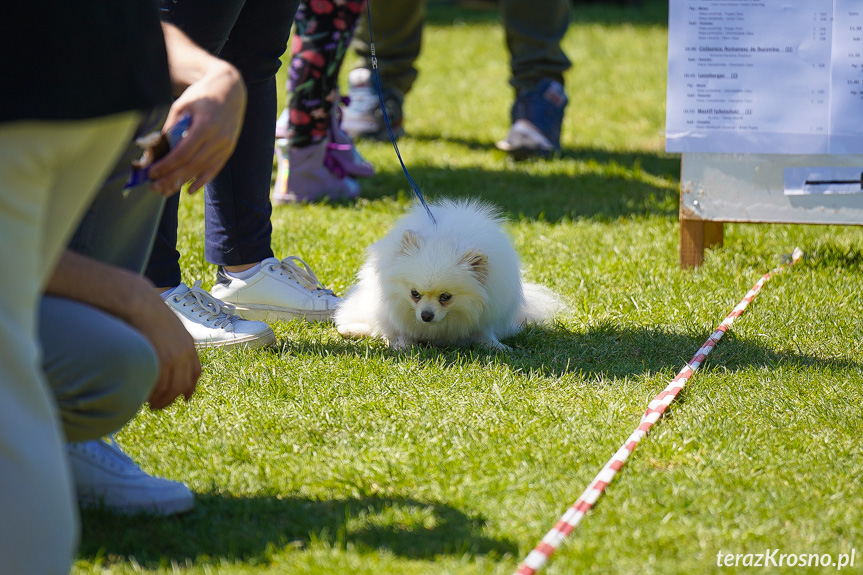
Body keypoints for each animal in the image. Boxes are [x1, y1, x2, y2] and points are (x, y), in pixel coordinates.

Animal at [334, 198, 564, 352]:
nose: (426, 316)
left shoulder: (487, 312)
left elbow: (485, 334)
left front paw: (497, 347)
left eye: (446, 297)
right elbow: (399, 331)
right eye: (414, 294)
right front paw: (403, 344)